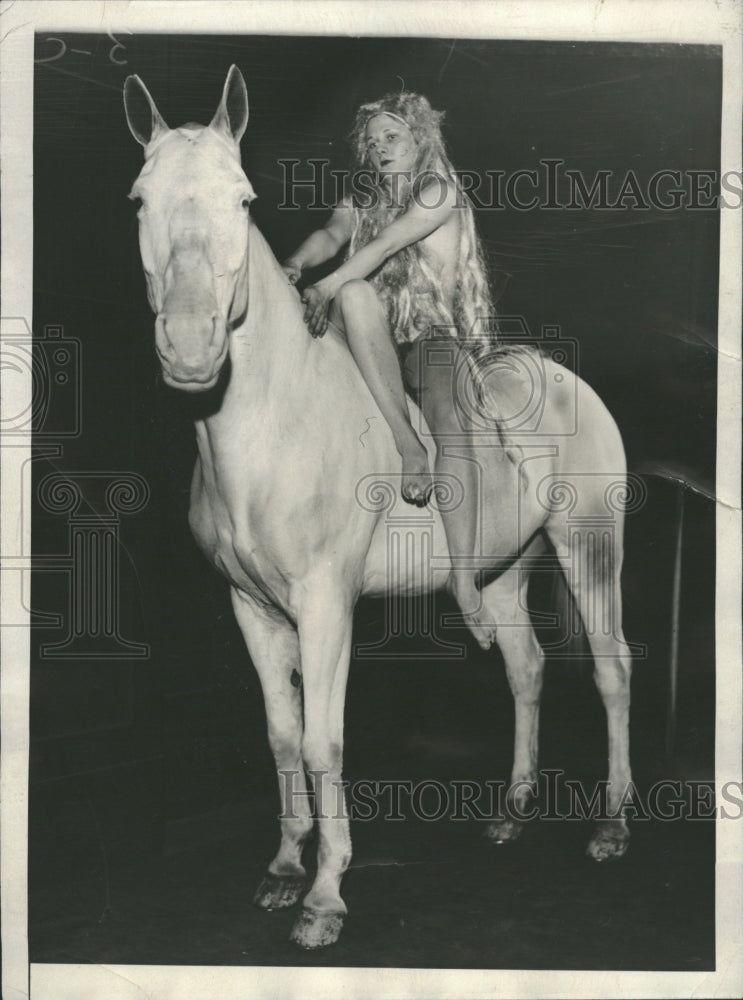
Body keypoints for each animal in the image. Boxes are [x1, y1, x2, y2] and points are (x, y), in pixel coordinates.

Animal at [125, 66, 636, 948]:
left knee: (610, 667)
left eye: (242, 200)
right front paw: (284, 867)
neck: (275, 417)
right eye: (139, 200)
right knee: (526, 668)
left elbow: (324, 742)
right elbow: (282, 736)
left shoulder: (325, 604)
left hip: (588, 544)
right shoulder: (251, 607)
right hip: (504, 569)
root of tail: (565, 377)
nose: (191, 350)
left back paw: (610, 826)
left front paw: (326, 896)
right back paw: (513, 810)